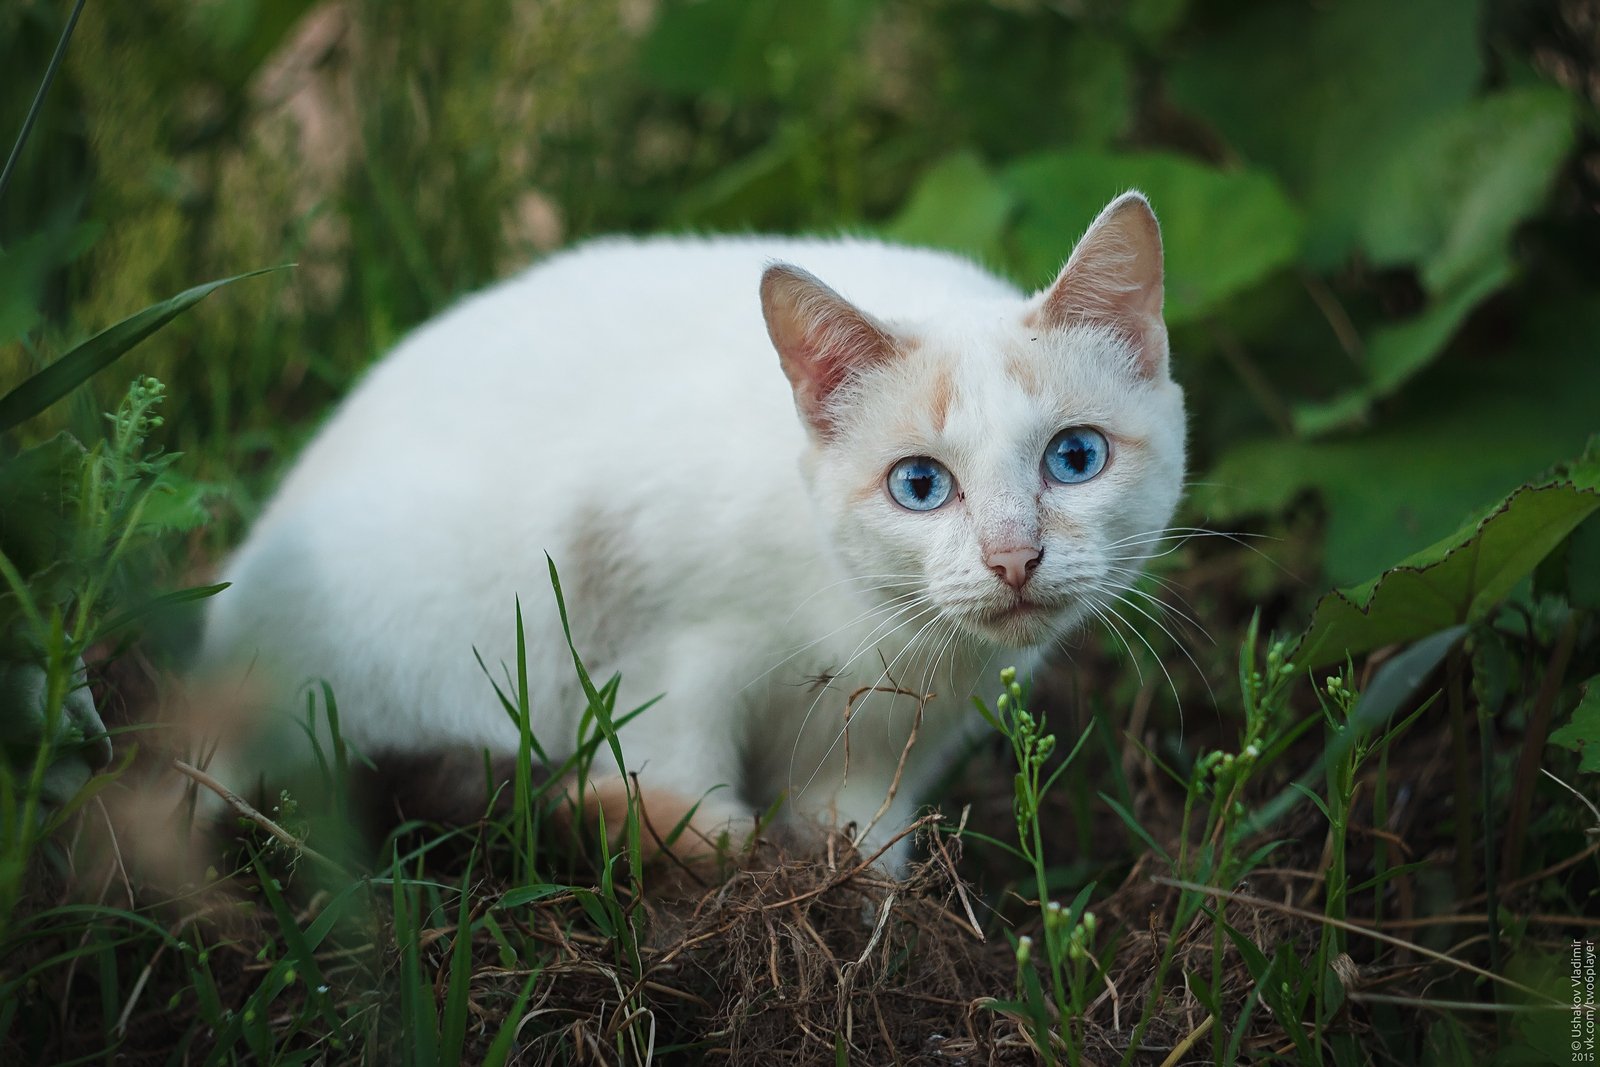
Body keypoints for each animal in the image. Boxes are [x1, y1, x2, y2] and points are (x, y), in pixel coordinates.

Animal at [193, 194, 1184, 870]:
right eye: (920, 485)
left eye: (1075, 457)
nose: (1014, 558)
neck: (868, 623)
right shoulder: (648, 626)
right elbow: (669, 771)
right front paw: (723, 853)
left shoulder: (895, 740)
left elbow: (864, 833)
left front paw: (861, 904)